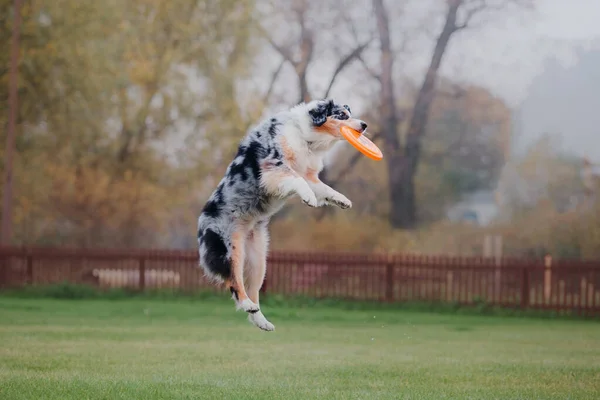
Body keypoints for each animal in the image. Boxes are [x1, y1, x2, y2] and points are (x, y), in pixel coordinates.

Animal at [197, 97, 366, 332]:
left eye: (350, 114)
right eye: (342, 115)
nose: (364, 125)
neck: (306, 137)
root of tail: (201, 225)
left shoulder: (309, 174)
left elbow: (323, 188)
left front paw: (342, 200)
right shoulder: (273, 168)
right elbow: (299, 181)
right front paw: (309, 198)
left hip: (259, 260)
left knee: (253, 291)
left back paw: (262, 321)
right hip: (230, 249)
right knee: (234, 283)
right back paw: (247, 304)